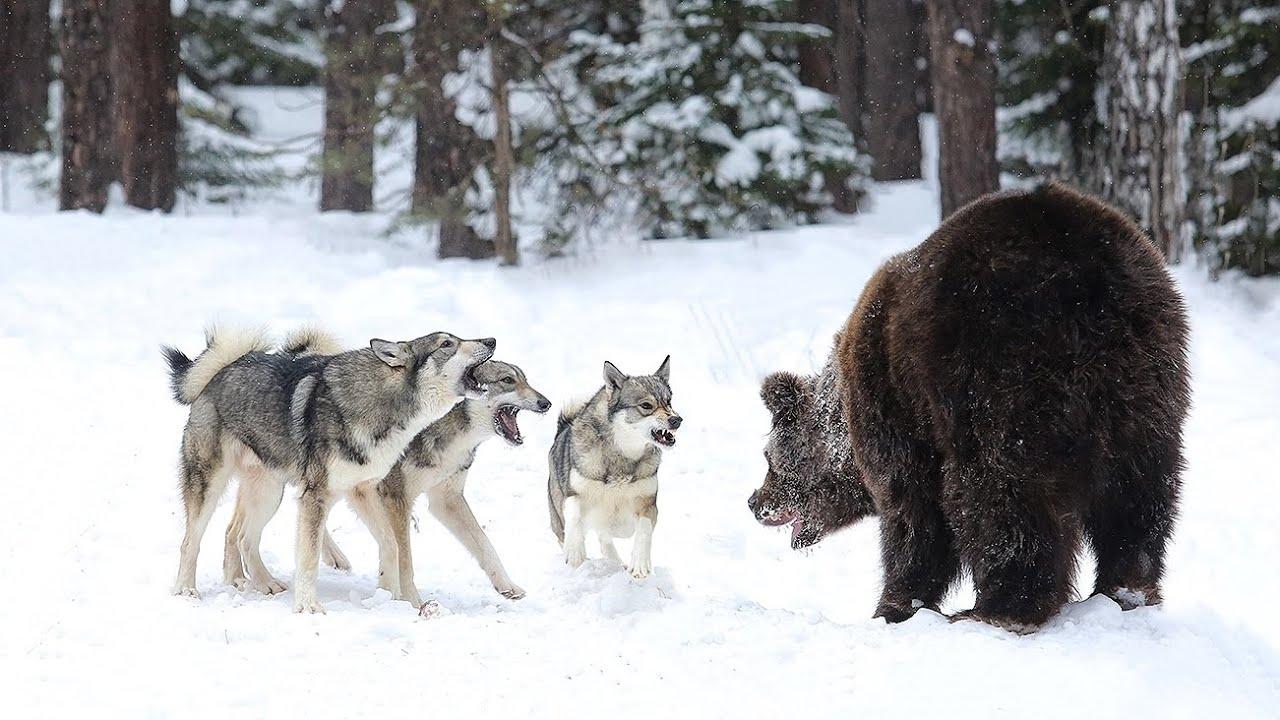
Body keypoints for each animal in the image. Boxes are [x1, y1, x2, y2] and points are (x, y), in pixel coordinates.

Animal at [165, 325, 494, 609]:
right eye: (447, 343)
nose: (491, 340)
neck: (382, 406)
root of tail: (222, 369)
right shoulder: (316, 496)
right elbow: (309, 558)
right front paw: (308, 607)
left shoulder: (362, 490)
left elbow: (392, 545)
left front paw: (389, 595)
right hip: (211, 485)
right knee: (190, 541)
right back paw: (186, 589)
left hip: (268, 492)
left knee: (242, 536)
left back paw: (261, 583)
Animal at [545, 353, 680, 576]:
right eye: (646, 406)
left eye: (669, 402)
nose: (677, 420)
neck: (621, 453)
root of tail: (562, 428)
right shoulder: (574, 494)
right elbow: (574, 515)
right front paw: (575, 552)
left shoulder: (647, 504)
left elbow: (643, 530)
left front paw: (640, 564)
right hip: (557, 518)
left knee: (605, 538)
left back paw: (616, 562)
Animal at [747, 181, 1187, 630]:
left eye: (769, 458)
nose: (755, 503)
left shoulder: (897, 409)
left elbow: (913, 513)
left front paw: (895, 606)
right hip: (1146, 386)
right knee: (1139, 493)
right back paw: (1128, 590)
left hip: (996, 375)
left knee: (1003, 493)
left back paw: (997, 609)